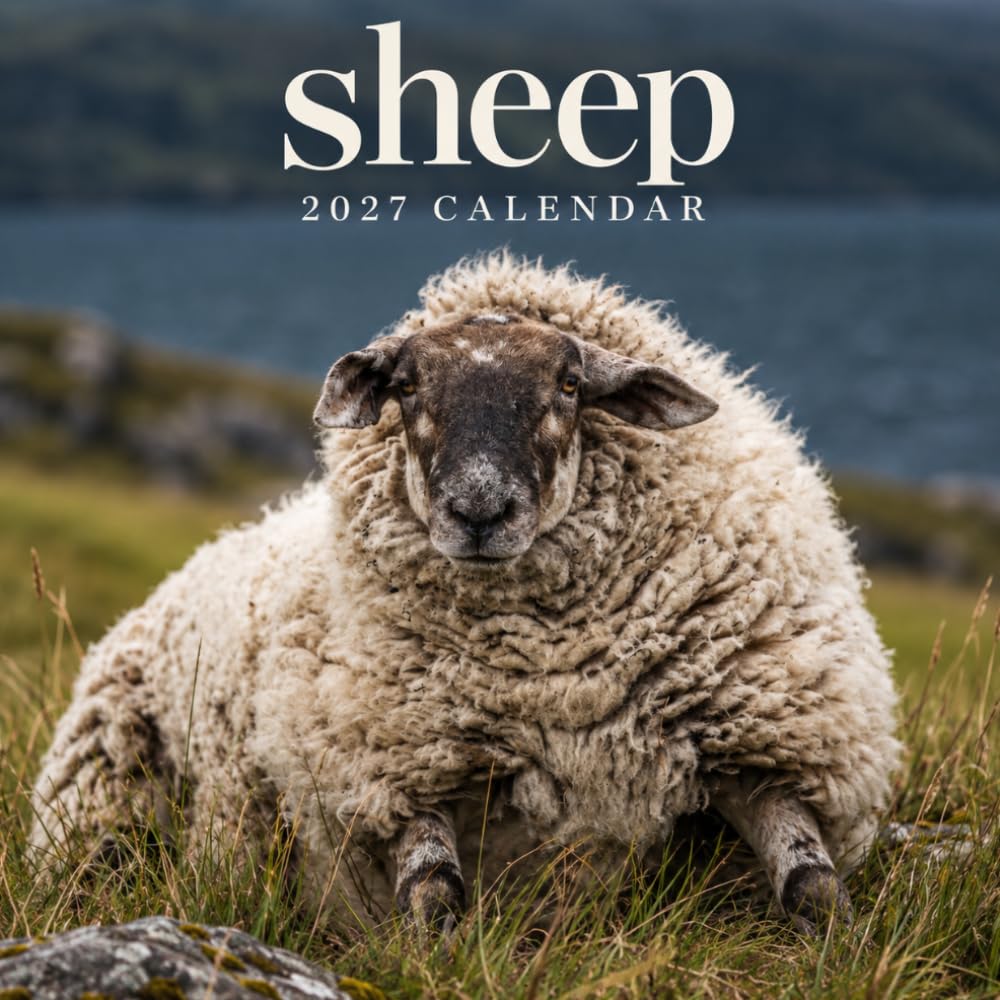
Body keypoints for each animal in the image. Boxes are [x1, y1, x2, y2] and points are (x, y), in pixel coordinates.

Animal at [29, 252, 901, 935]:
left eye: (570, 384)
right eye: (408, 387)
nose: (479, 510)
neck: (566, 685)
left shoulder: (764, 753)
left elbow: (816, 886)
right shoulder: (397, 774)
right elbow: (433, 898)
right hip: (104, 790)